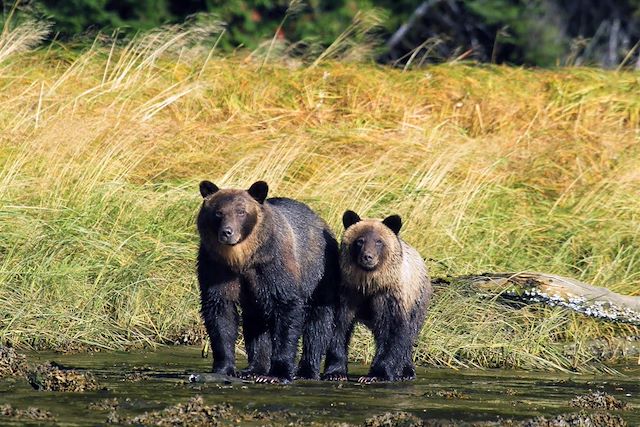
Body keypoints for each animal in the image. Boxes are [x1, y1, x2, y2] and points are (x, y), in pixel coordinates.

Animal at [196, 181, 340, 384]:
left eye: (241, 211)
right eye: (218, 212)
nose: (227, 232)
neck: (243, 258)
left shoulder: (272, 265)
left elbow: (286, 309)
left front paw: (278, 373)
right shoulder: (216, 266)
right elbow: (220, 311)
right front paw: (224, 368)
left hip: (319, 274)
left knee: (318, 323)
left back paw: (307, 370)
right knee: (255, 323)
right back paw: (254, 369)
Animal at [322, 212, 432, 382]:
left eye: (379, 241)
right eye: (359, 241)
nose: (368, 257)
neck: (368, 284)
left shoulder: (389, 297)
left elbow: (392, 332)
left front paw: (376, 375)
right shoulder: (347, 293)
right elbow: (339, 326)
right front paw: (335, 373)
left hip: (417, 301)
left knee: (409, 335)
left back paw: (406, 371)